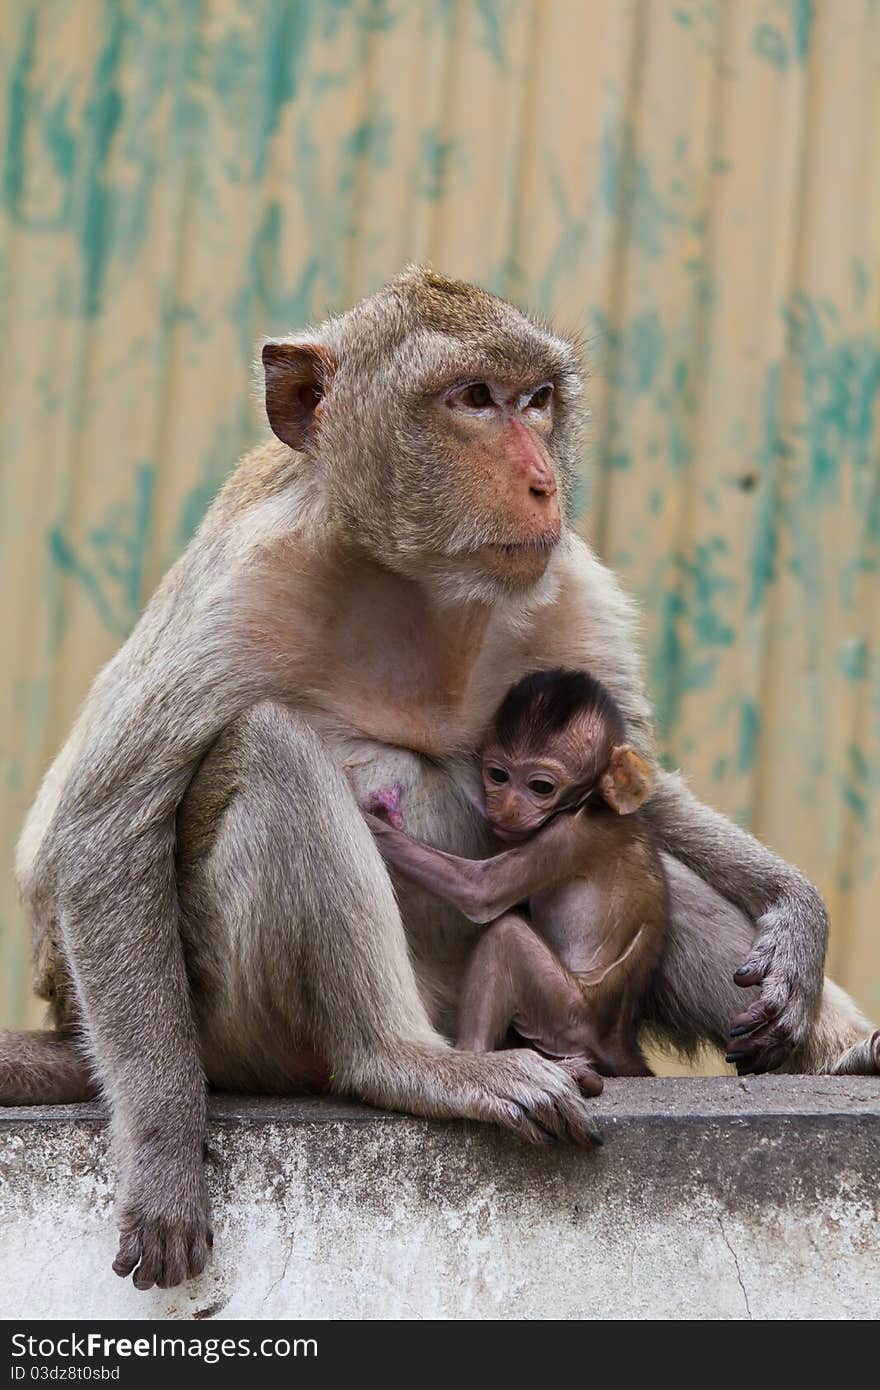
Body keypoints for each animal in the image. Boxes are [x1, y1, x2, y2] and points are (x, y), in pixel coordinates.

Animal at [361, 669, 661, 1073]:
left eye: (540, 786)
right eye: (498, 775)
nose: (505, 806)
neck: (592, 803)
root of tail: (613, 1041)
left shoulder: (569, 837)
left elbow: (481, 892)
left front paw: (364, 813)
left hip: (565, 1015)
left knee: (506, 936)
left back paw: (473, 1056)